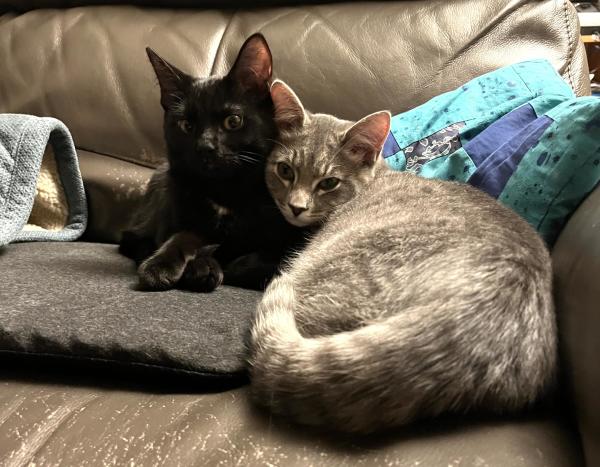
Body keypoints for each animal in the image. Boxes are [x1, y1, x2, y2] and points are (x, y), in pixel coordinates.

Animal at [118, 33, 304, 292]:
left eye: (233, 121)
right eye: (186, 125)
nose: (205, 147)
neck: (225, 191)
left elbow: (270, 256)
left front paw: (222, 265)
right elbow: (183, 236)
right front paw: (162, 265)